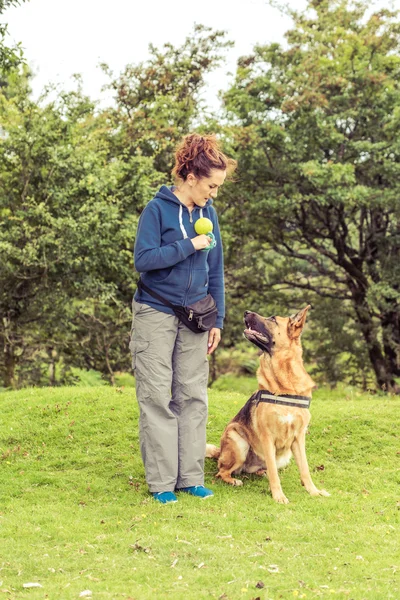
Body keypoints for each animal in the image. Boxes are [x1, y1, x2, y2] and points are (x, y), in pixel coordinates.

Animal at [206, 308, 328, 504]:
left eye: (273, 319)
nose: (246, 312)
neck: (284, 386)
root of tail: (221, 452)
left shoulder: (299, 438)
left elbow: (305, 469)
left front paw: (314, 491)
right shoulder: (267, 437)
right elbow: (274, 474)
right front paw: (278, 496)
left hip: (284, 456)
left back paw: (260, 472)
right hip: (239, 442)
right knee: (221, 471)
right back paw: (233, 480)